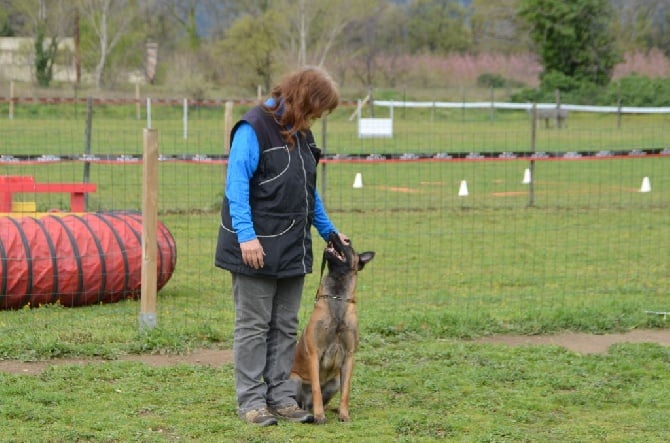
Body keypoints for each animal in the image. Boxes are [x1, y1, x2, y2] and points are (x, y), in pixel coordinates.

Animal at [292, 232, 376, 424]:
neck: (337, 297)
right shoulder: (314, 354)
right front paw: (319, 416)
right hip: (294, 380)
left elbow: (346, 391)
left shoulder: (349, 356)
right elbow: (316, 388)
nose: (331, 233)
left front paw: (344, 414)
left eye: (347, 242)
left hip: (334, 382)